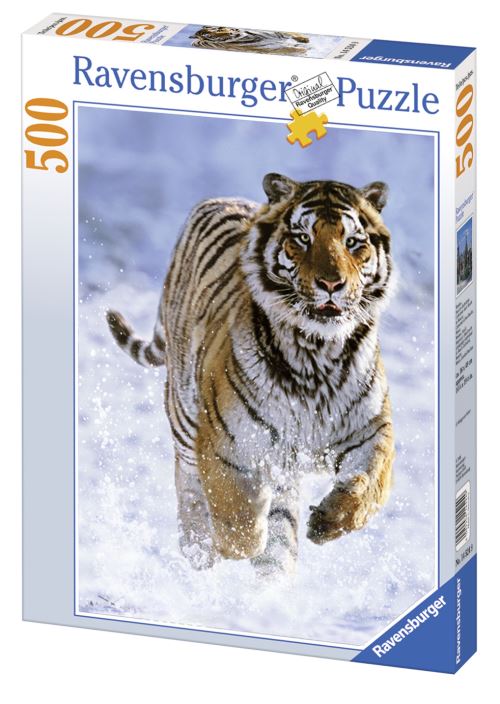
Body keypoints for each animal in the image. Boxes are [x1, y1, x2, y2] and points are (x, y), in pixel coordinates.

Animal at [106, 173, 395, 577]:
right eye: (302, 238)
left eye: (353, 242)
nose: (331, 284)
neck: (317, 353)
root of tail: (218, 199)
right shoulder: (226, 443)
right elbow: (237, 521)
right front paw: (240, 539)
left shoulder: (370, 430)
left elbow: (371, 484)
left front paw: (328, 521)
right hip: (184, 419)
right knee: (189, 489)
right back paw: (200, 552)